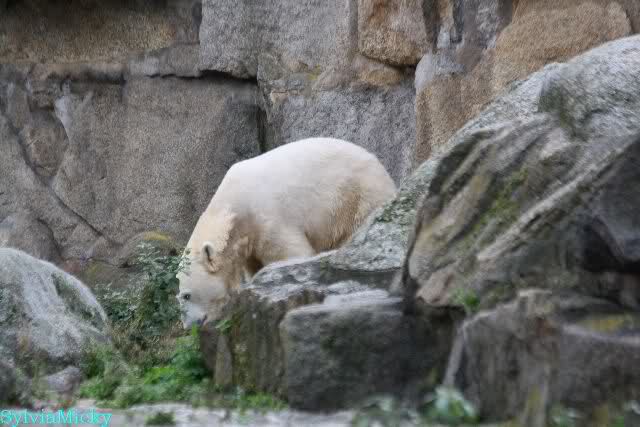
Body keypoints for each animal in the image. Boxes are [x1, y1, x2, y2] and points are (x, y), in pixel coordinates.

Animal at [176, 137, 396, 329]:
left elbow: (292, 253)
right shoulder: (249, 241)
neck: (232, 211)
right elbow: (254, 266)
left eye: (186, 295)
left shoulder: (268, 217)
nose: (188, 326)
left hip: (356, 195)